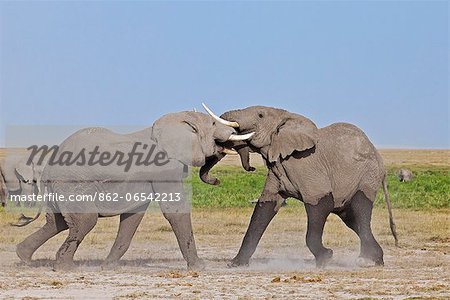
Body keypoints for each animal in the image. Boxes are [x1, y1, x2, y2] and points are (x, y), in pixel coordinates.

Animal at [14, 111, 253, 270]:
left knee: (57, 222)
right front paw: (199, 267)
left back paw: (24, 257)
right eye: (213, 123)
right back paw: (64, 267)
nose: (217, 181)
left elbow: (133, 215)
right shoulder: (164, 167)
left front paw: (108, 267)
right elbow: (174, 209)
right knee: (84, 221)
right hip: (72, 185)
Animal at [200, 105, 398, 268]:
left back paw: (366, 261)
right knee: (350, 218)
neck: (285, 117)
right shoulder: (277, 168)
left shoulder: (307, 165)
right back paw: (375, 260)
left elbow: (321, 204)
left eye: (260, 115)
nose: (216, 180)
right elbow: (263, 209)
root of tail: (380, 160)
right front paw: (235, 264)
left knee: (360, 211)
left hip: (367, 177)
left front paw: (326, 258)